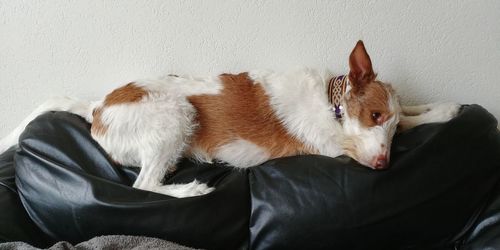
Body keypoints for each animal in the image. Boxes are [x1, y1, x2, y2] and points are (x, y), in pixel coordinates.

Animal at [0, 41, 460, 197]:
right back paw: (190, 190)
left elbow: (414, 112)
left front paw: (444, 108)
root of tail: (96, 108)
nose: (383, 165)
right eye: (374, 114)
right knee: (144, 186)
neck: (332, 104)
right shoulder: (332, 145)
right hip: (177, 115)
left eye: (388, 124)